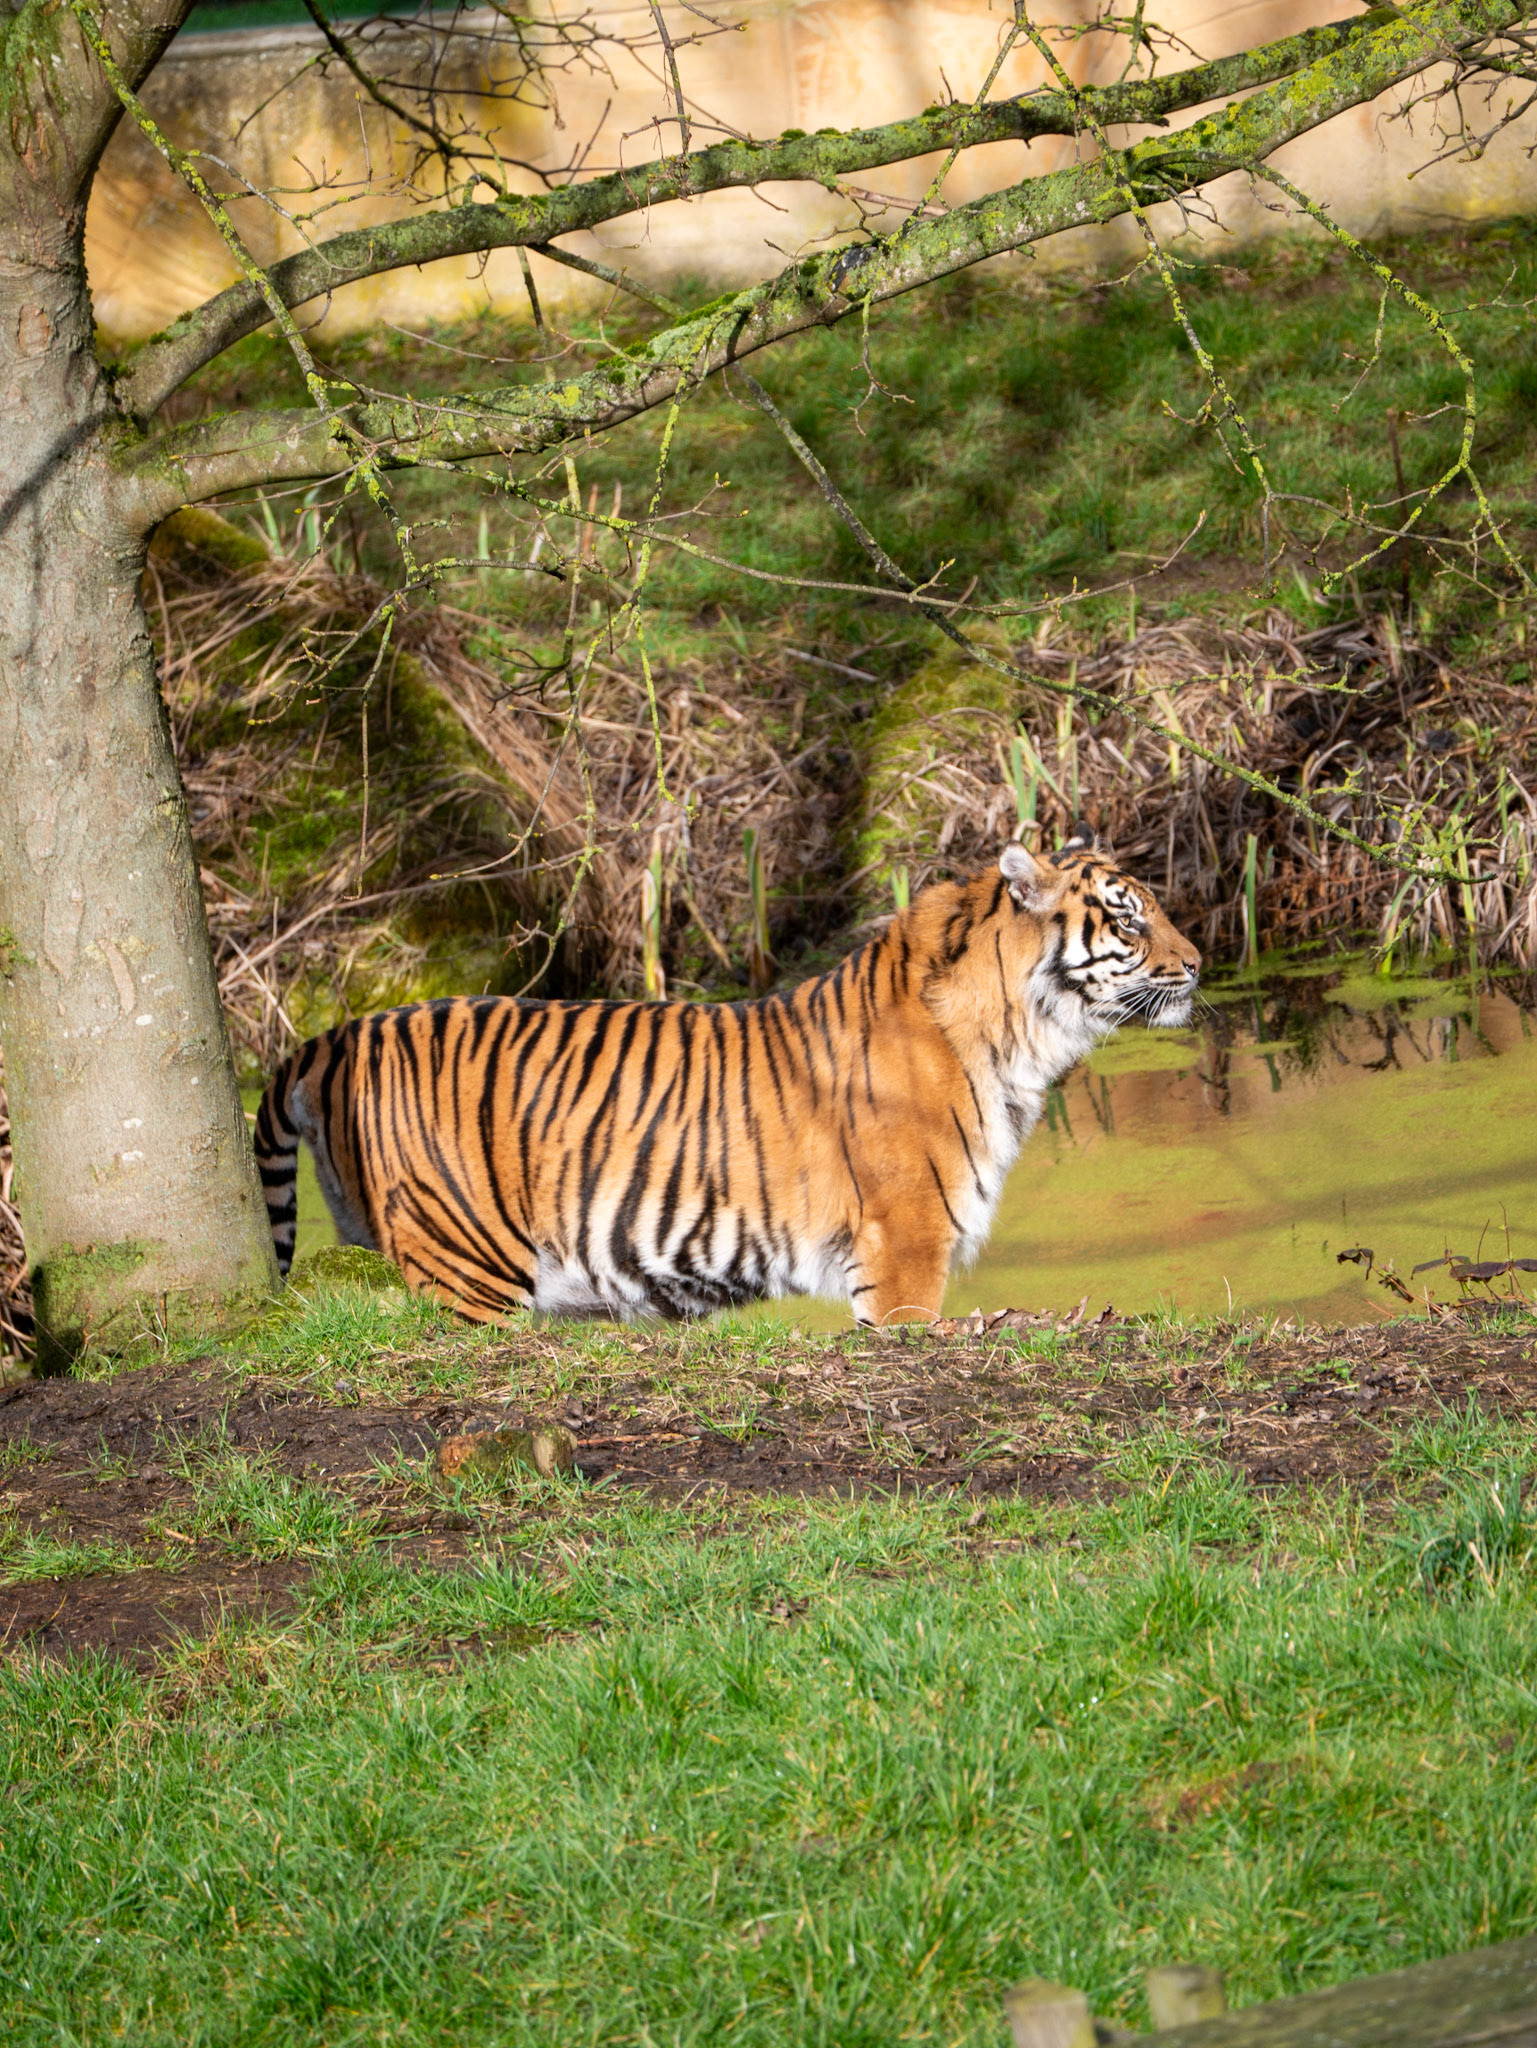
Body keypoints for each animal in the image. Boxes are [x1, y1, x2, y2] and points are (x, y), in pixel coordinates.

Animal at [253, 831, 1201, 1327]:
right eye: (1128, 918)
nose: (1196, 962)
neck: (1019, 1039)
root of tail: (340, 1030)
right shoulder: (903, 1250)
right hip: (466, 1269)